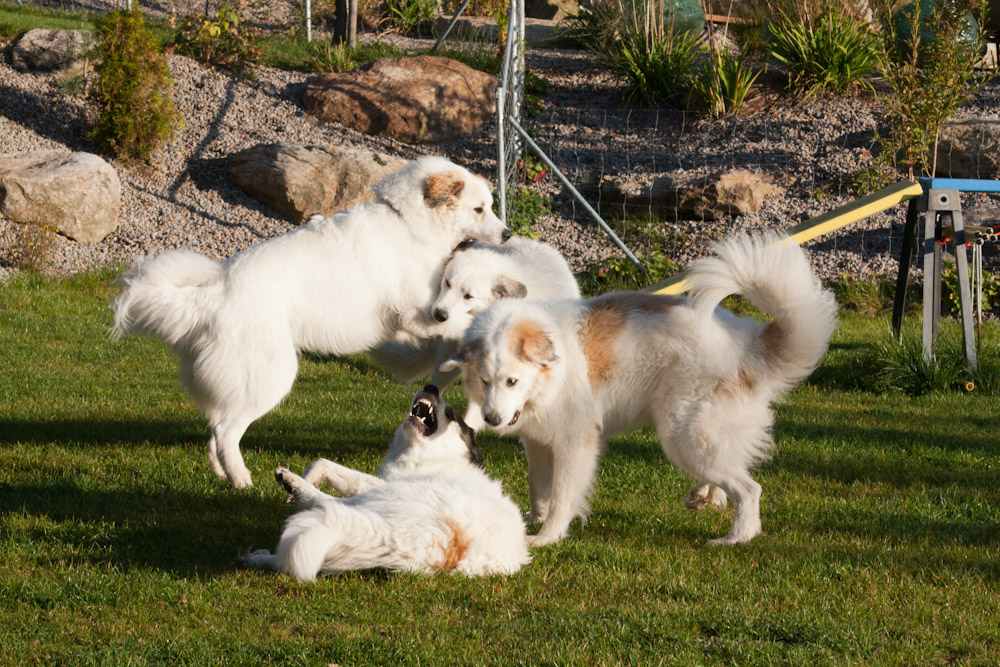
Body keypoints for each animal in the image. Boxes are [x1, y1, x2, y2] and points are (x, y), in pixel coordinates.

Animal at [240, 386, 532, 580]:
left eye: (451, 413)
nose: (432, 386)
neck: (437, 455)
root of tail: (450, 549)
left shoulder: (382, 485)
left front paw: (299, 482)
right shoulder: (381, 479)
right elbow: (323, 463)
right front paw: (311, 474)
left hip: (379, 499)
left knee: (327, 504)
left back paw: (293, 484)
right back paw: (257, 557)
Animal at [442, 235, 840, 548]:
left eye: (512, 381)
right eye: (485, 381)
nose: (492, 419)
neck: (550, 377)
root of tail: (749, 339)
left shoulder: (575, 443)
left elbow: (560, 498)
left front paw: (546, 537)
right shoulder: (538, 443)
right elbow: (538, 489)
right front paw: (530, 520)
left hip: (683, 436)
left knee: (748, 489)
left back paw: (735, 538)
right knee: (731, 472)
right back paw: (705, 496)